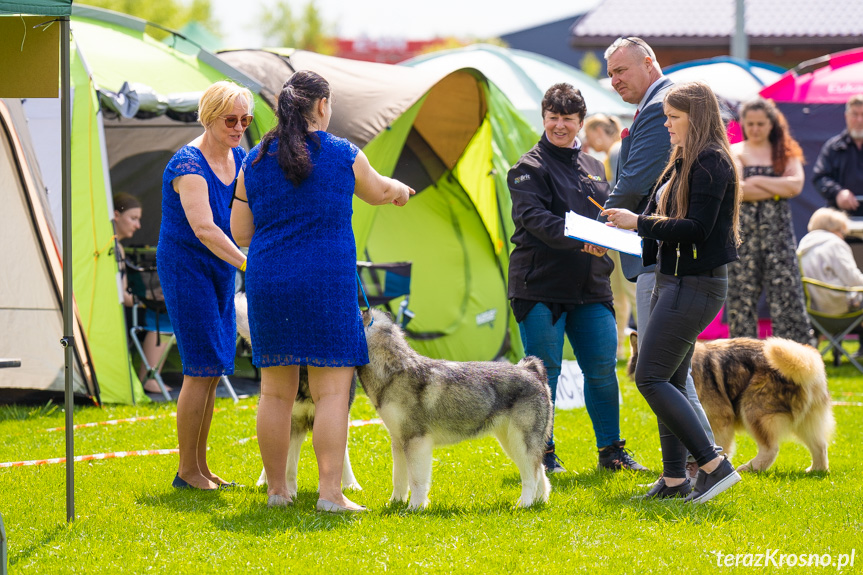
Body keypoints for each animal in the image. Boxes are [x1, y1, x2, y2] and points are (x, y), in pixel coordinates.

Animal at [358, 308, 552, 510]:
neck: (392, 371)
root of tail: (531, 371)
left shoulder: (416, 441)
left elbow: (417, 481)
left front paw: (414, 508)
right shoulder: (398, 441)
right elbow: (398, 478)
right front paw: (395, 503)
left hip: (520, 440)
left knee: (531, 476)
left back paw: (524, 505)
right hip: (509, 440)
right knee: (540, 470)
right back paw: (538, 502)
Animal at [632, 332, 832, 472]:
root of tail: (809, 365)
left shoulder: (719, 419)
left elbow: (716, 444)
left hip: (752, 410)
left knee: (771, 448)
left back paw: (750, 468)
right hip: (804, 421)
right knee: (820, 445)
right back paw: (816, 470)